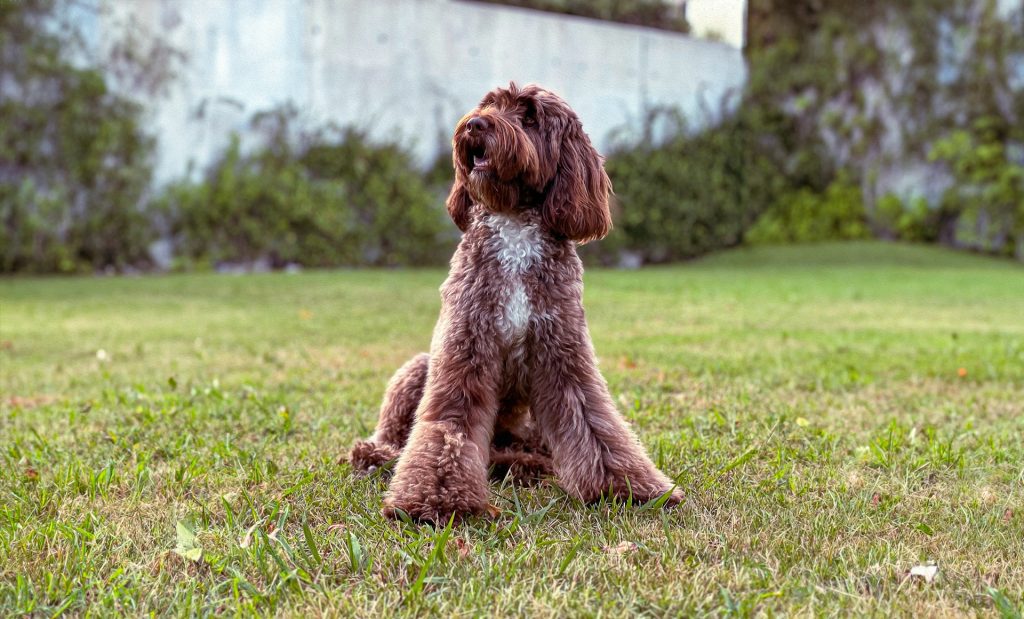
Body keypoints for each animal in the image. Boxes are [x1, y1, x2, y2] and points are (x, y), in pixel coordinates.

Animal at [346, 81, 679, 522]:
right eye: (489, 104)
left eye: (530, 117)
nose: (475, 123)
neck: (515, 228)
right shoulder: (464, 352)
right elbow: (449, 428)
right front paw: (436, 500)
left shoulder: (564, 357)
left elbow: (596, 425)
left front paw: (630, 488)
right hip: (418, 368)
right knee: (398, 431)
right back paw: (377, 454)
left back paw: (521, 464)